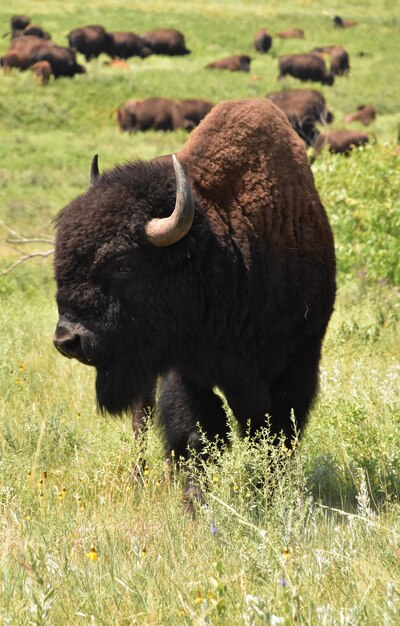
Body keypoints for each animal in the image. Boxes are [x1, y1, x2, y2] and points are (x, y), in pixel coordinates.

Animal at [52, 97, 334, 498]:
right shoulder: (185, 370)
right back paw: (140, 480)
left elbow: (278, 434)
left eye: (123, 264)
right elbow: (197, 435)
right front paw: (196, 502)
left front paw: (269, 493)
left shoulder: (300, 361)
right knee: (141, 420)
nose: (67, 340)